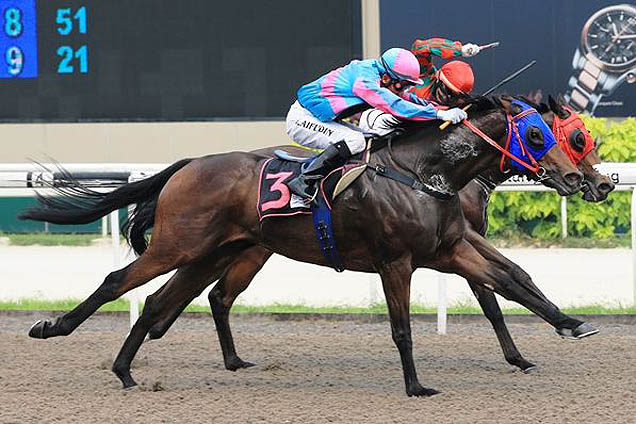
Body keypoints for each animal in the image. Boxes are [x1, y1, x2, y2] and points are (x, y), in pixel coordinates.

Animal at [19, 95, 588, 394]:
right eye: (538, 136)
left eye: (570, 136)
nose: (581, 180)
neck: (426, 173)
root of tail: (191, 163)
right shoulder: (397, 261)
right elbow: (403, 328)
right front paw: (415, 386)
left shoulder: (449, 250)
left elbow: (510, 280)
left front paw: (569, 324)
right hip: (179, 245)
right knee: (119, 282)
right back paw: (55, 329)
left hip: (216, 252)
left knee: (165, 301)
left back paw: (131, 369)